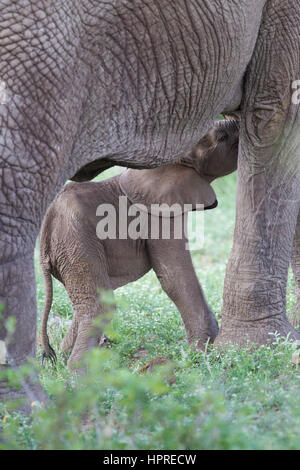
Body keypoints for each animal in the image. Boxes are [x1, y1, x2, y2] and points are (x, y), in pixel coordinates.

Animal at [40, 119, 239, 370]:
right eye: (221, 137)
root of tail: (46, 228)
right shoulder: (158, 214)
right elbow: (174, 276)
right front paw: (202, 353)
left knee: (85, 302)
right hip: (75, 239)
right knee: (99, 306)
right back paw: (77, 375)